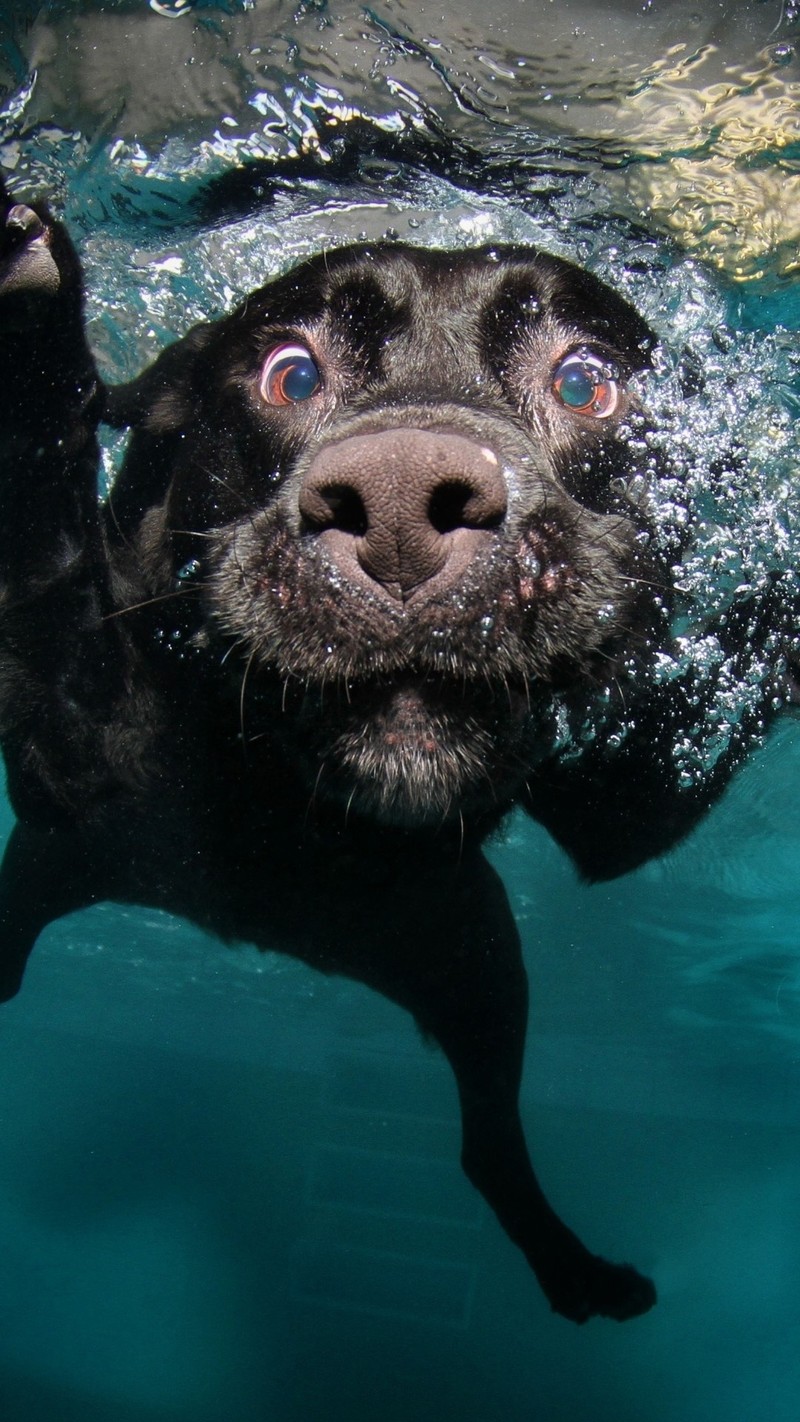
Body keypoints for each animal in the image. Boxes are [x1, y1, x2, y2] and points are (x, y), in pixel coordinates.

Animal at [0, 183, 790, 1325]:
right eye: (291, 372)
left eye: (584, 381)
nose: (402, 503)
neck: (282, 801)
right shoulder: (64, 724)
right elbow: (47, 546)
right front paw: (32, 317)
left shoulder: (615, 811)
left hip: (477, 960)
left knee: (485, 1148)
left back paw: (578, 1273)